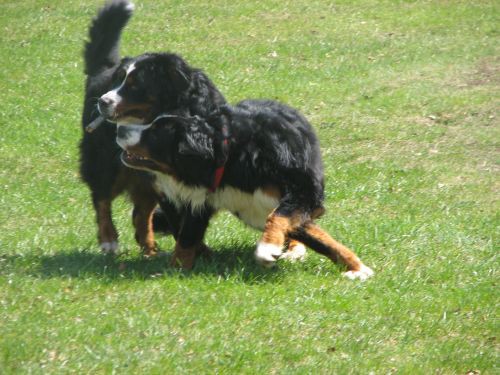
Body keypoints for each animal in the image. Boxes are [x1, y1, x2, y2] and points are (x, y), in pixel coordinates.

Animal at [79, 0, 225, 256]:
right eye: (119, 81)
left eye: (135, 84)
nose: (103, 102)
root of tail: (102, 71)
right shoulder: (165, 185)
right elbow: (181, 224)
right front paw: (197, 253)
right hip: (107, 162)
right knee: (101, 197)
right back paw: (109, 239)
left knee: (140, 214)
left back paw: (149, 250)